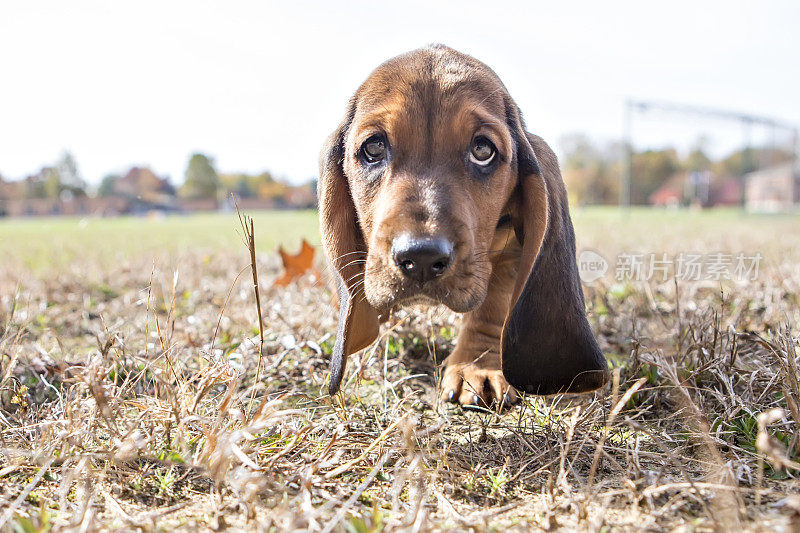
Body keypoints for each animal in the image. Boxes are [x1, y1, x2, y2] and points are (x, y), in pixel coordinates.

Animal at [316, 43, 608, 406]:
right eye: (374, 147)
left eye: (482, 149)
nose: (421, 258)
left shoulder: (511, 250)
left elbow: (494, 302)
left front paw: (477, 365)